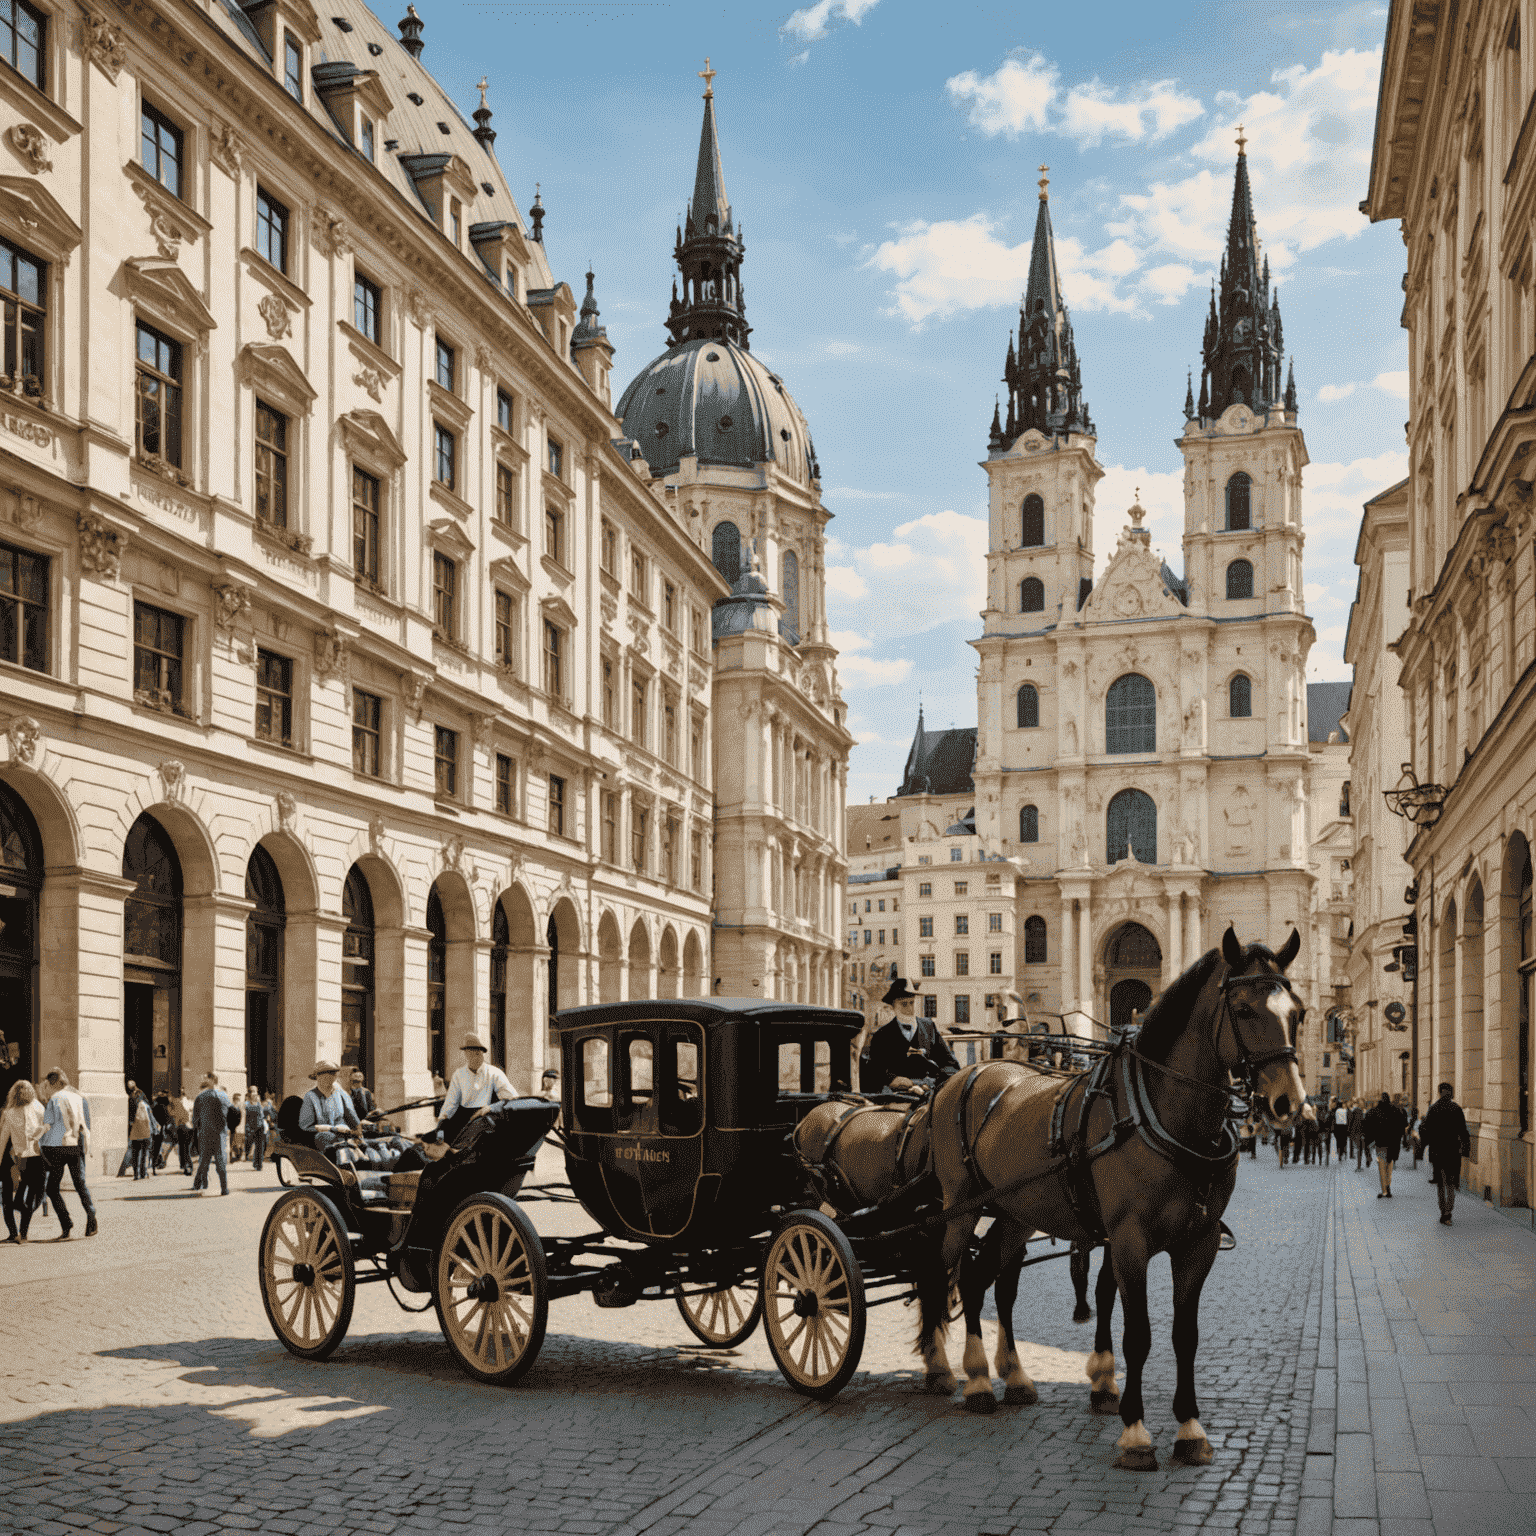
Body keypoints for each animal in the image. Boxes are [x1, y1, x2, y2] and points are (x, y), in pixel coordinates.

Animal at [915, 921, 1302, 1462]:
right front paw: (1135, 1431)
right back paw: (949, 1372)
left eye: (1298, 1012)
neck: (1161, 1115)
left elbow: (1185, 1335)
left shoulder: (1198, 1243)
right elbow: (1137, 1333)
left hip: (1014, 1212)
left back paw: (1005, 1378)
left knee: (985, 1282)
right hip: (959, 1209)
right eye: (1244, 1010)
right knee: (942, 1272)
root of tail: (962, 1077)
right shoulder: (1130, 1240)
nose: (1290, 1102)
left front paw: (1189, 1428)